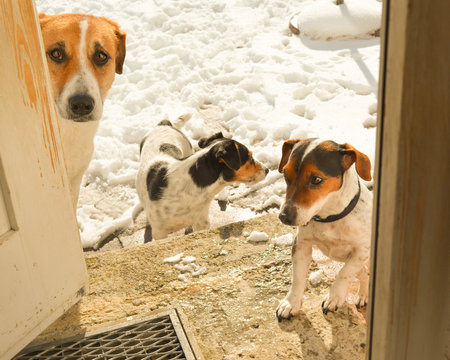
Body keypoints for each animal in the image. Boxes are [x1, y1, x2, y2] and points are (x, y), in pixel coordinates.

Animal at [276, 139, 374, 320]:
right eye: (285, 175)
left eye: (316, 179)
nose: (284, 216)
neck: (329, 218)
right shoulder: (301, 245)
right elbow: (297, 278)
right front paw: (291, 303)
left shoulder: (361, 251)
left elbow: (344, 273)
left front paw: (334, 297)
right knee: (363, 273)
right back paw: (363, 294)